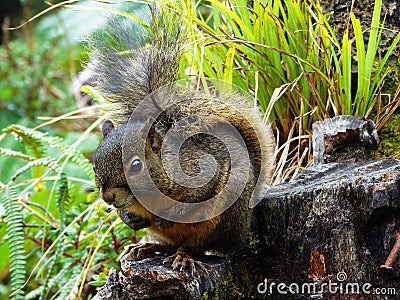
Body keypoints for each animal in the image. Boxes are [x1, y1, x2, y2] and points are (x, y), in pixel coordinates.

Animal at [89, 5, 276, 274]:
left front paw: (164, 217)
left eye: (136, 166)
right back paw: (147, 247)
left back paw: (183, 256)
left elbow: (198, 196)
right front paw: (128, 218)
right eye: (95, 165)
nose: (108, 198)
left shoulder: (204, 172)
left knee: (198, 246)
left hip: (221, 219)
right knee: (171, 243)